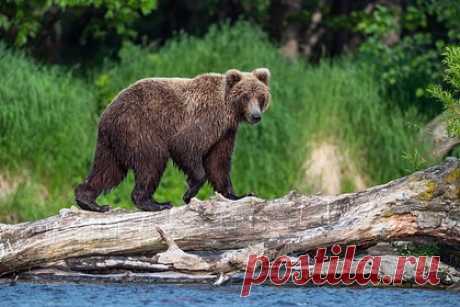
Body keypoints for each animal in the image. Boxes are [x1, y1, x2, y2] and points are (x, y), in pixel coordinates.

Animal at [74, 67, 272, 213]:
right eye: (245, 96)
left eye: (260, 96)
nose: (256, 116)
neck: (228, 111)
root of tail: (105, 114)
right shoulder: (204, 119)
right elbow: (185, 146)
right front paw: (189, 193)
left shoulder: (225, 133)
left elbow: (218, 163)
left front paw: (239, 195)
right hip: (139, 128)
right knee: (152, 161)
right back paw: (155, 203)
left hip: (113, 143)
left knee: (108, 170)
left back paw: (90, 201)